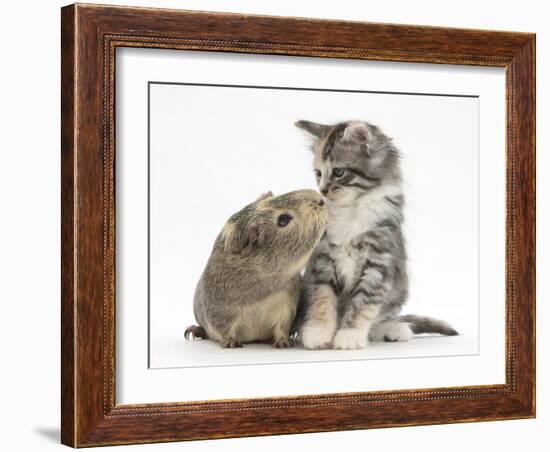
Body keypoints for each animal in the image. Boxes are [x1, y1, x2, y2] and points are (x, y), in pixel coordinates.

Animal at [296, 120, 460, 350]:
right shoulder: (322, 261)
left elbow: (363, 304)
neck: (352, 208)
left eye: (338, 172)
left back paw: (394, 330)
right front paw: (318, 332)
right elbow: (322, 298)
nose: (323, 190)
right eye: (318, 173)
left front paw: (349, 335)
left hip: (398, 292)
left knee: (381, 320)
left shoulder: (379, 262)